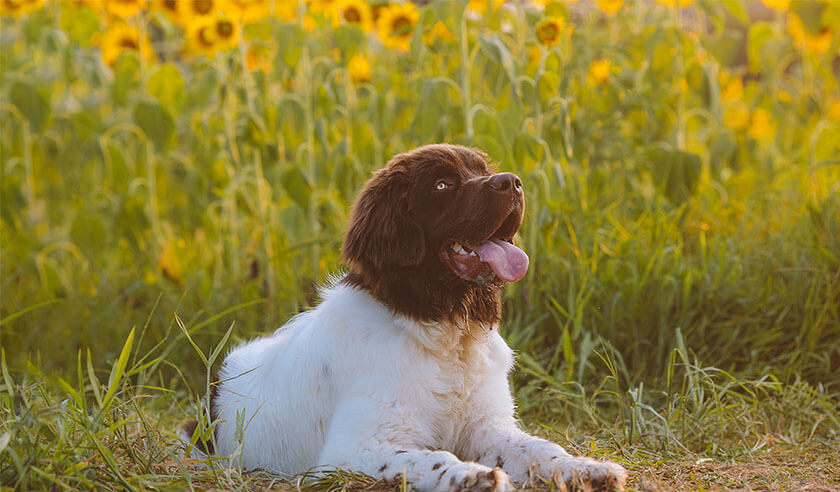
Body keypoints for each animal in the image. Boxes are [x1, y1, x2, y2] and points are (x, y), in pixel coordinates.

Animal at [185, 144, 632, 490]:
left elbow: (540, 447)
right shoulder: (354, 448)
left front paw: (585, 468)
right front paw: (473, 477)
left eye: (482, 171)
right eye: (442, 185)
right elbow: (431, 459)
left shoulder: (489, 427)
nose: (512, 182)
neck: (444, 330)